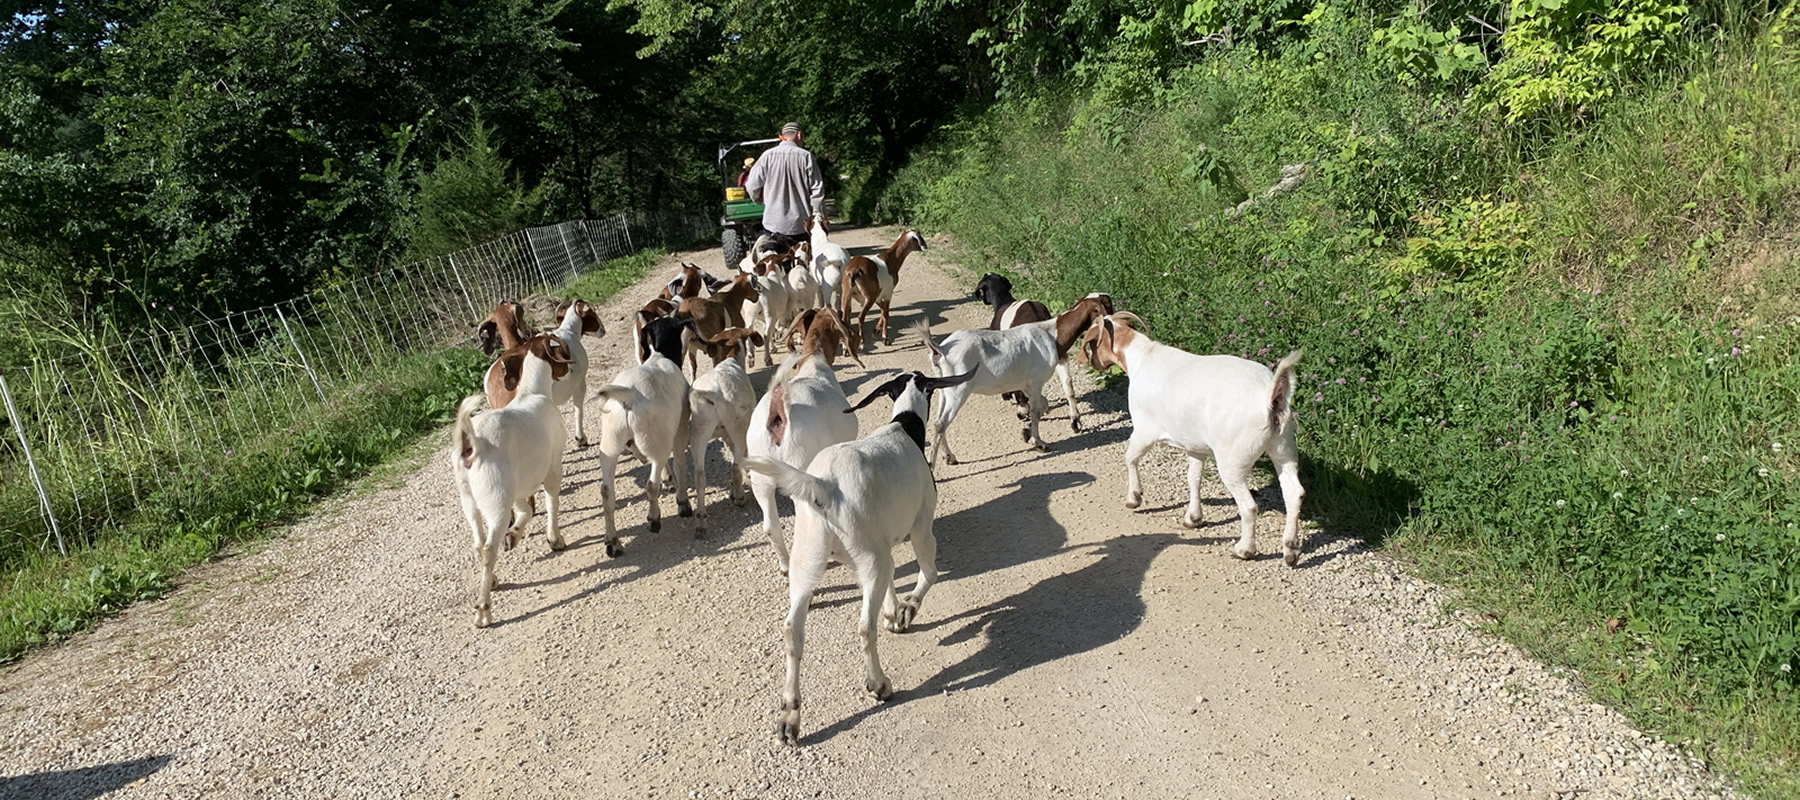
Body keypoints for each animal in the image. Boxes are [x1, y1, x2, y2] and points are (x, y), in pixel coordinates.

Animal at [450, 335, 568, 627]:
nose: (568, 369)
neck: (531, 392)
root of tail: (472, 446)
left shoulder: (518, 489)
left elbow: (526, 511)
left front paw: (514, 535)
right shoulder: (553, 467)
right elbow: (551, 502)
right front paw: (555, 539)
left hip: (470, 501)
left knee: (478, 543)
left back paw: (492, 580)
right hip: (496, 503)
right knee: (488, 548)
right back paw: (483, 611)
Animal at [597, 315, 694, 551]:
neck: (660, 356)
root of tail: (629, 395)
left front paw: (670, 481)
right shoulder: (679, 430)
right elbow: (680, 463)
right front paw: (683, 503)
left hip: (611, 445)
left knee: (606, 492)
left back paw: (613, 542)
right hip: (655, 442)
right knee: (651, 484)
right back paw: (654, 519)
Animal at [684, 324, 763, 529]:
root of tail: (714, 393)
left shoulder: (724, 434)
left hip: (699, 432)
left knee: (700, 476)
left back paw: (701, 521)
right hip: (737, 427)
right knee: (735, 465)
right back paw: (740, 497)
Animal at [741, 367, 979, 742]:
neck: (904, 427)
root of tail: (826, 487)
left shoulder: (885, 541)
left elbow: (894, 582)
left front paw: (893, 611)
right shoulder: (921, 527)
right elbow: (929, 574)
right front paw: (906, 611)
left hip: (809, 559)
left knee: (792, 630)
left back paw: (789, 716)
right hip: (871, 557)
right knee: (865, 627)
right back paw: (879, 684)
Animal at [1080, 311, 1310, 569]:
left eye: (1092, 342)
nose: (1093, 363)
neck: (1143, 357)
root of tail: (1269, 396)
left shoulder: (1144, 429)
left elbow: (1129, 458)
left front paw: (1134, 498)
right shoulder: (1195, 446)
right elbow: (1193, 478)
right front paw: (1193, 518)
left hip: (1233, 459)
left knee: (1249, 506)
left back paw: (1244, 549)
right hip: (1283, 446)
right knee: (1294, 493)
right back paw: (1290, 550)